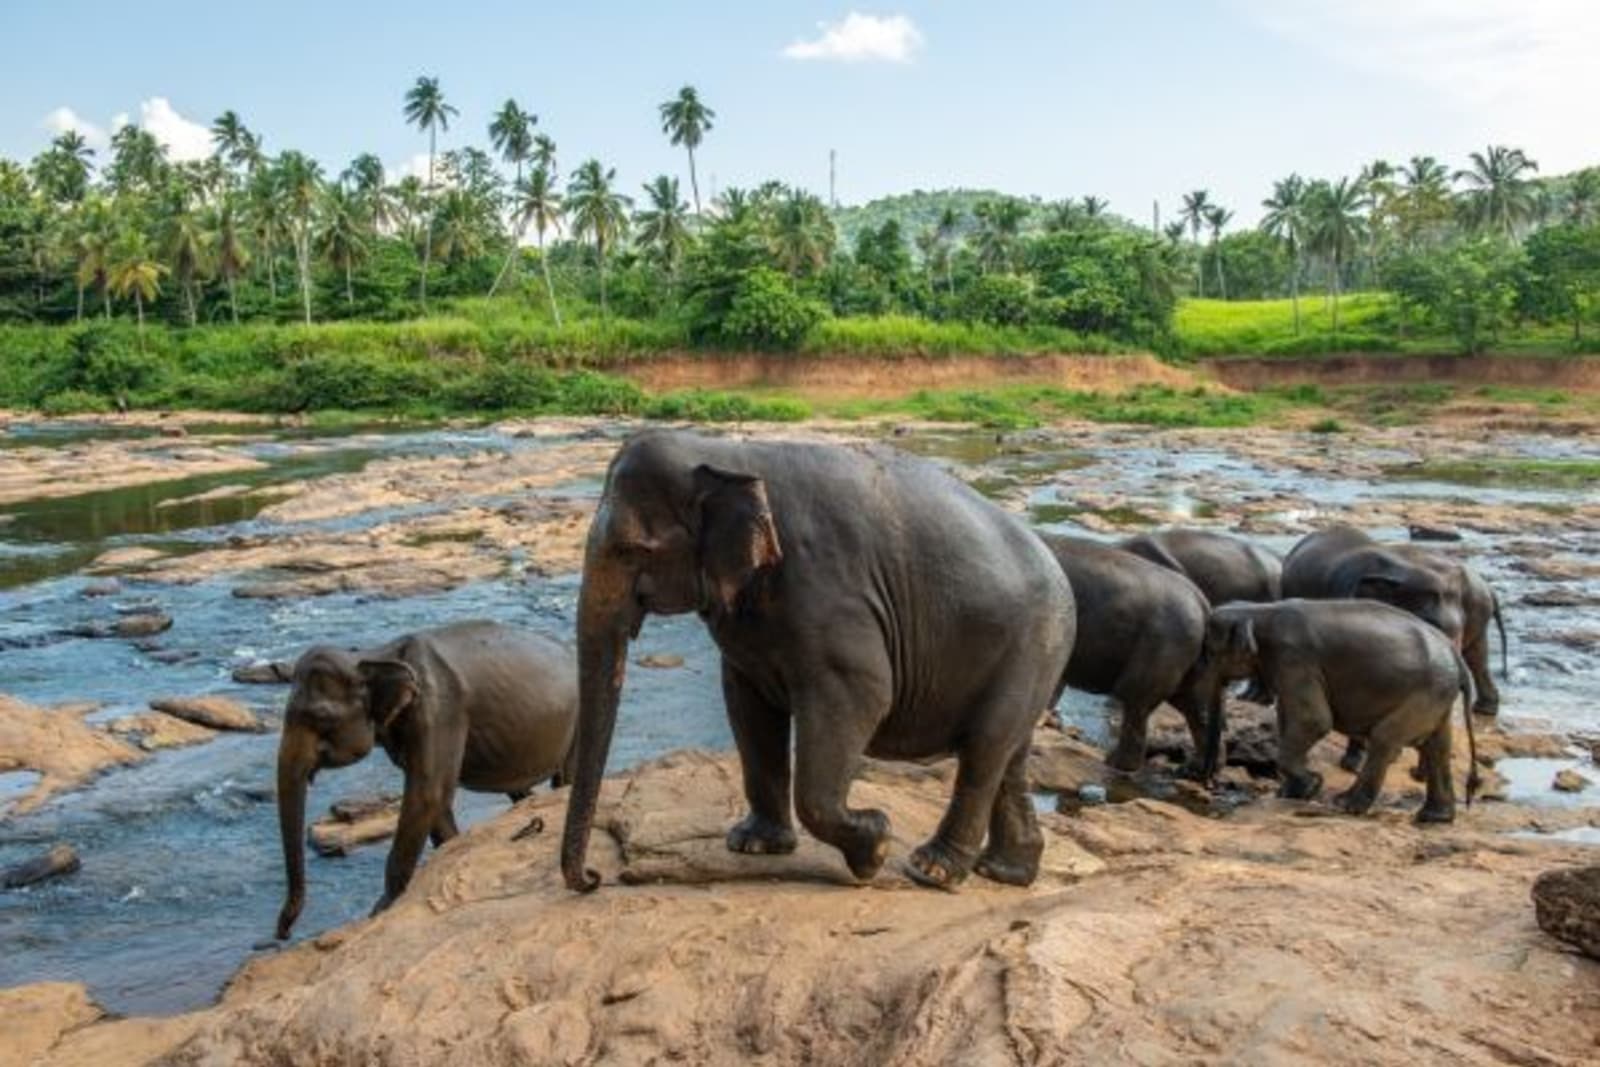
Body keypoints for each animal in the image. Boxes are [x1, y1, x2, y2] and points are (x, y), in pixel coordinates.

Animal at [276, 621, 577, 940]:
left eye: (321, 717)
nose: (284, 934)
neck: (376, 654)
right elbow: (436, 799)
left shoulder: (439, 710)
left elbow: (427, 793)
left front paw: (382, 908)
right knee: (522, 790)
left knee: (566, 776)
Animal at [561, 429, 1075, 893]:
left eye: (631, 550)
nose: (594, 878)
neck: (730, 453)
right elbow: (747, 705)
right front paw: (754, 845)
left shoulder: (831, 590)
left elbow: (863, 695)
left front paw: (874, 849)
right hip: (1033, 657)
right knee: (1010, 753)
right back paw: (1006, 873)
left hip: (1034, 646)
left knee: (984, 750)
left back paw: (931, 871)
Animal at [1040, 534, 1210, 774]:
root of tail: (1203, 603)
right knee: (1194, 703)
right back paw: (1195, 771)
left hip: (1163, 644)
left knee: (1135, 698)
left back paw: (1116, 765)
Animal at [1195, 599, 1481, 822]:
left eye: (1209, 652)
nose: (1209, 784)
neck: (1259, 611)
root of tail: (1456, 657)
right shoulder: (1284, 667)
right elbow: (1288, 717)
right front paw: (1290, 793)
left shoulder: (1294, 660)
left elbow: (1314, 721)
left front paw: (1311, 786)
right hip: (1438, 694)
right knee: (1437, 746)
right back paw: (1435, 818)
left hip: (1427, 691)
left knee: (1385, 738)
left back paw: (1345, 804)